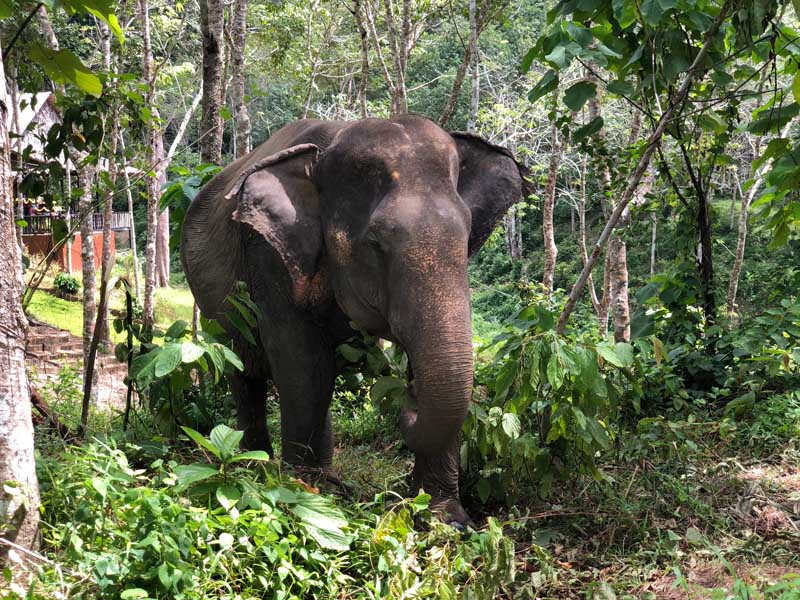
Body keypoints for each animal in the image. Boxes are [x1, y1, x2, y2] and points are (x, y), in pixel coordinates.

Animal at [182, 113, 532, 524]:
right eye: (376, 244)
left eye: (466, 238)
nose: (409, 401)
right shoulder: (269, 256)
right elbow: (303, 366)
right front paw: (302, 494)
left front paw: (446, 520)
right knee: (245, 372)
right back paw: (258, 465)